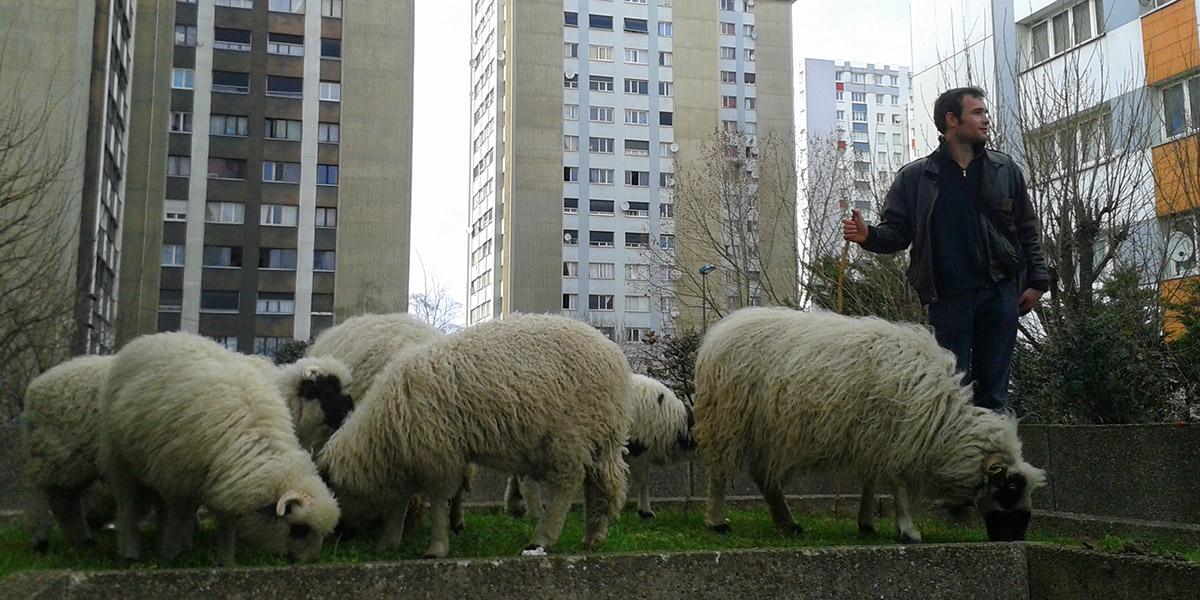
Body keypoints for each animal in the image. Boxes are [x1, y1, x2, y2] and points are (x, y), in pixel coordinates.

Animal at [98, 332, 340, 565]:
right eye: (299, 529)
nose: (311, 561)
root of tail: (151, 338)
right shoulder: (176, 481)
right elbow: (175, 517)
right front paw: (170, 555)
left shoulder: (225, 482)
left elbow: (226, 524)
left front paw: (226, 560)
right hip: (121, 459)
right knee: (128, 506)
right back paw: (131, 552)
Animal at [319, 313, 631, 558]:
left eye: (335, 494)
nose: (340, 536)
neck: (387, 423)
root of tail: (613, 355)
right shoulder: (415, 453)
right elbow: (401, 500)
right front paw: (388, 543)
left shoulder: (438, 451)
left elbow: (438, 498)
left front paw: (436, 547)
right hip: (601, 434)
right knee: (601, 484)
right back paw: (593, 536)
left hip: (570, 433)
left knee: (568, 482)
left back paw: (542, 538)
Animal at [505, 374, 695, 520]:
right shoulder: (637, 448)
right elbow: (641, 480)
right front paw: (638, 510)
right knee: (528, 481)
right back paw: (535, 513)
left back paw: (514, 508)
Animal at [693, 307, 1046, 543]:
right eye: (1011, 487)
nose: (1017, 536)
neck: (942, 422)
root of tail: (718, 333)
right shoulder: (895, 439)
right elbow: (898, 486)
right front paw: (908, 530)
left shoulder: (874, 439)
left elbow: (871, 483)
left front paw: (866, 523)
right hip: (728, 420)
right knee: (718, 474)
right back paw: (716, 521)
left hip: (767, 431)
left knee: (764, 478)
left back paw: (787, 523)